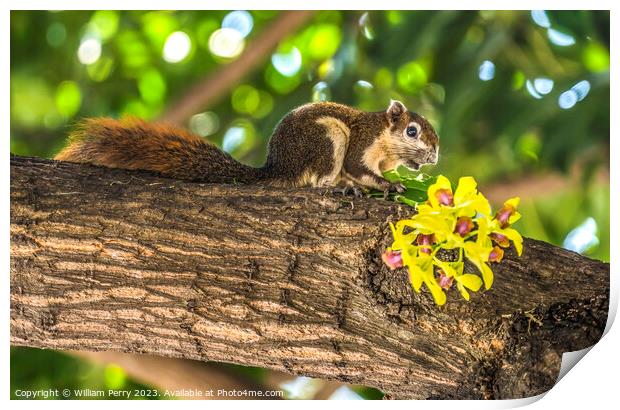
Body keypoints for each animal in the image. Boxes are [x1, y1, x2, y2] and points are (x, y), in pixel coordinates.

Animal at [55, 99, 438, 195]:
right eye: (413, 131)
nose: (434, 155)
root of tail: (279, 166)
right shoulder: (361, 141)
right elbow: (359, 167)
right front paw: (389, 185)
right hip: (328, 139)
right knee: (317, 182)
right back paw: (339, 188)